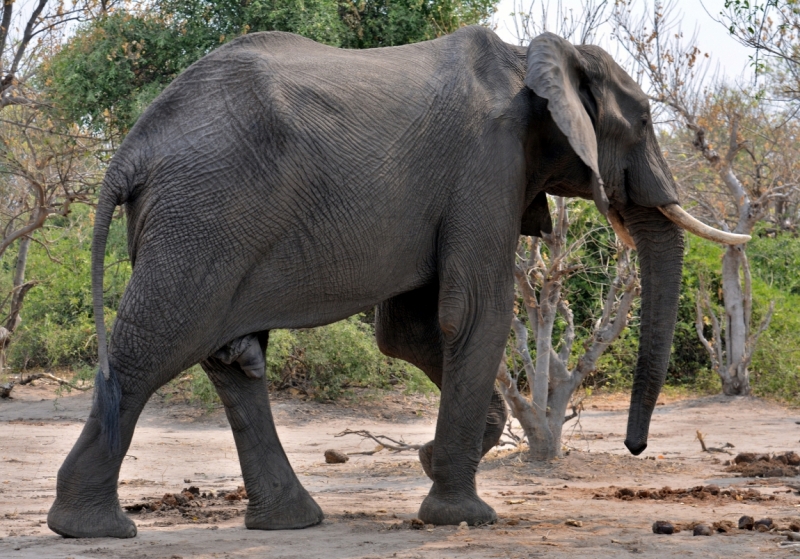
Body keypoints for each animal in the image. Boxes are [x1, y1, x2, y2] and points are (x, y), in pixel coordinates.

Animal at [47, 25, 748, 540]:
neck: (535, 56)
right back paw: (91, 529)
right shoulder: (486, 163)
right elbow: (474, 314)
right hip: (203, 216)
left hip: (205, 221)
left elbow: (408, 332)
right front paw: (463, 518)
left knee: (234, 357)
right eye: (646, 123)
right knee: (157, 345)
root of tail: (131, 149)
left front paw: (437, 458)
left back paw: (289, 523)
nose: (635, 447)